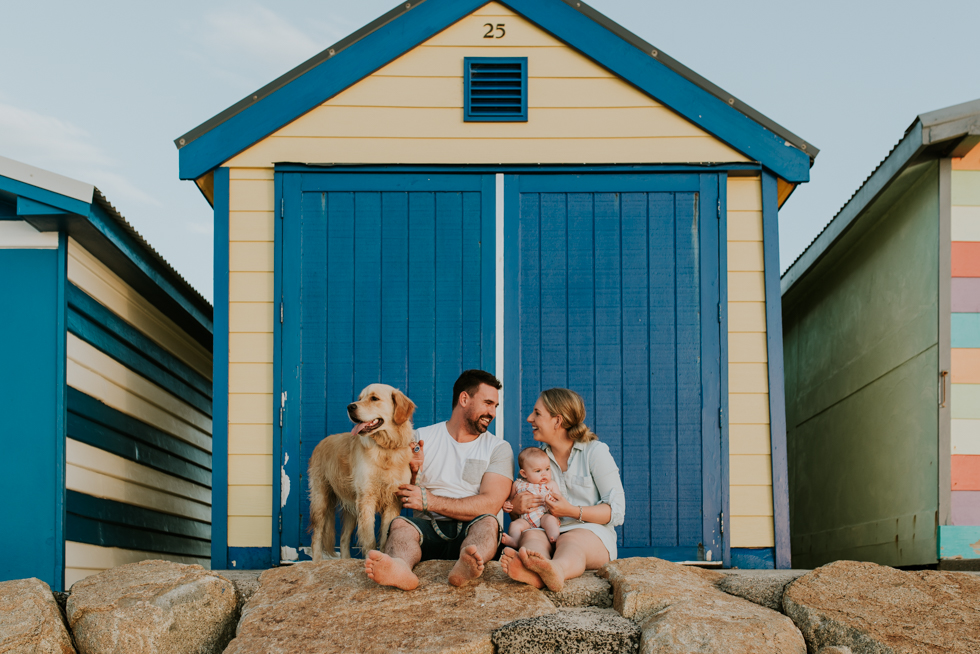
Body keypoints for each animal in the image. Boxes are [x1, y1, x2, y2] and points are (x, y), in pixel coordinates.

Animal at [306, 384, 414, 564]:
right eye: (360, 398)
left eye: (374, 398)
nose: (350, 407)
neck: (386, 448)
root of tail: (322, 442)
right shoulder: (366, 498)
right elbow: (370, 538)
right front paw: (372, 558)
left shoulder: (393, 500)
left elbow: (385, 537)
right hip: (321, 500)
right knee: (316, 536)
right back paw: (316, 562)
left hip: (351, 506)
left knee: (343, 539)